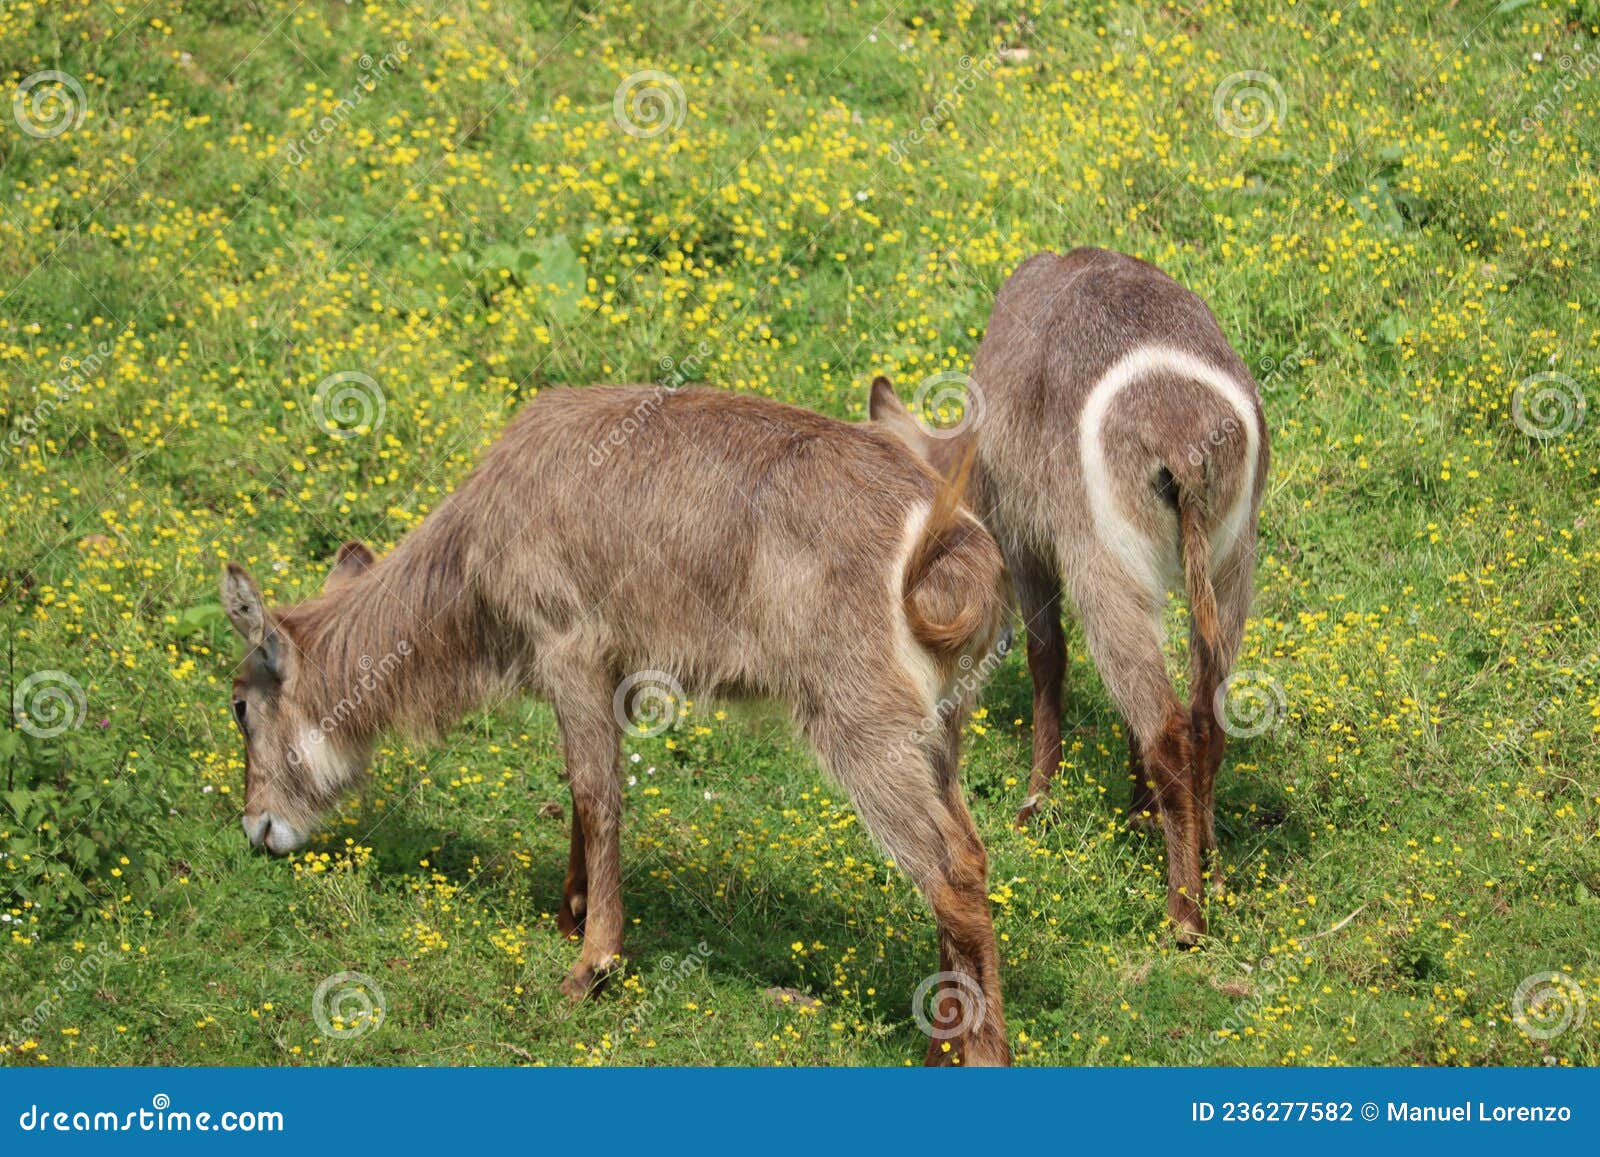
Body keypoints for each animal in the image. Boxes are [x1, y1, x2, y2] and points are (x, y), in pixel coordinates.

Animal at [222, 387, 1011, 1068]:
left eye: (238, 704)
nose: (256, 827)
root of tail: (958, 547)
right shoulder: (615, 671)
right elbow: (583, 792)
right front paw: (569, 914)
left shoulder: (567, 644)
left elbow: (596, 795)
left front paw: (591, 963)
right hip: (939, 732)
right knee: (969, 849)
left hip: (861, 723)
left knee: (949, 869)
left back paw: (978, 1054)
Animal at [870, 246, 1267, 940]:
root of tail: (1184, 441)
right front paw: (1137, 809)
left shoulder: (1024, 541)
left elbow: (1046, 657)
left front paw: (1037, 800)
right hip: (1227, 570)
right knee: (1203, 719)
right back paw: (1213, 873)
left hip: (1100, 566)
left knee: (1167, 723)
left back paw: (1184, 914)